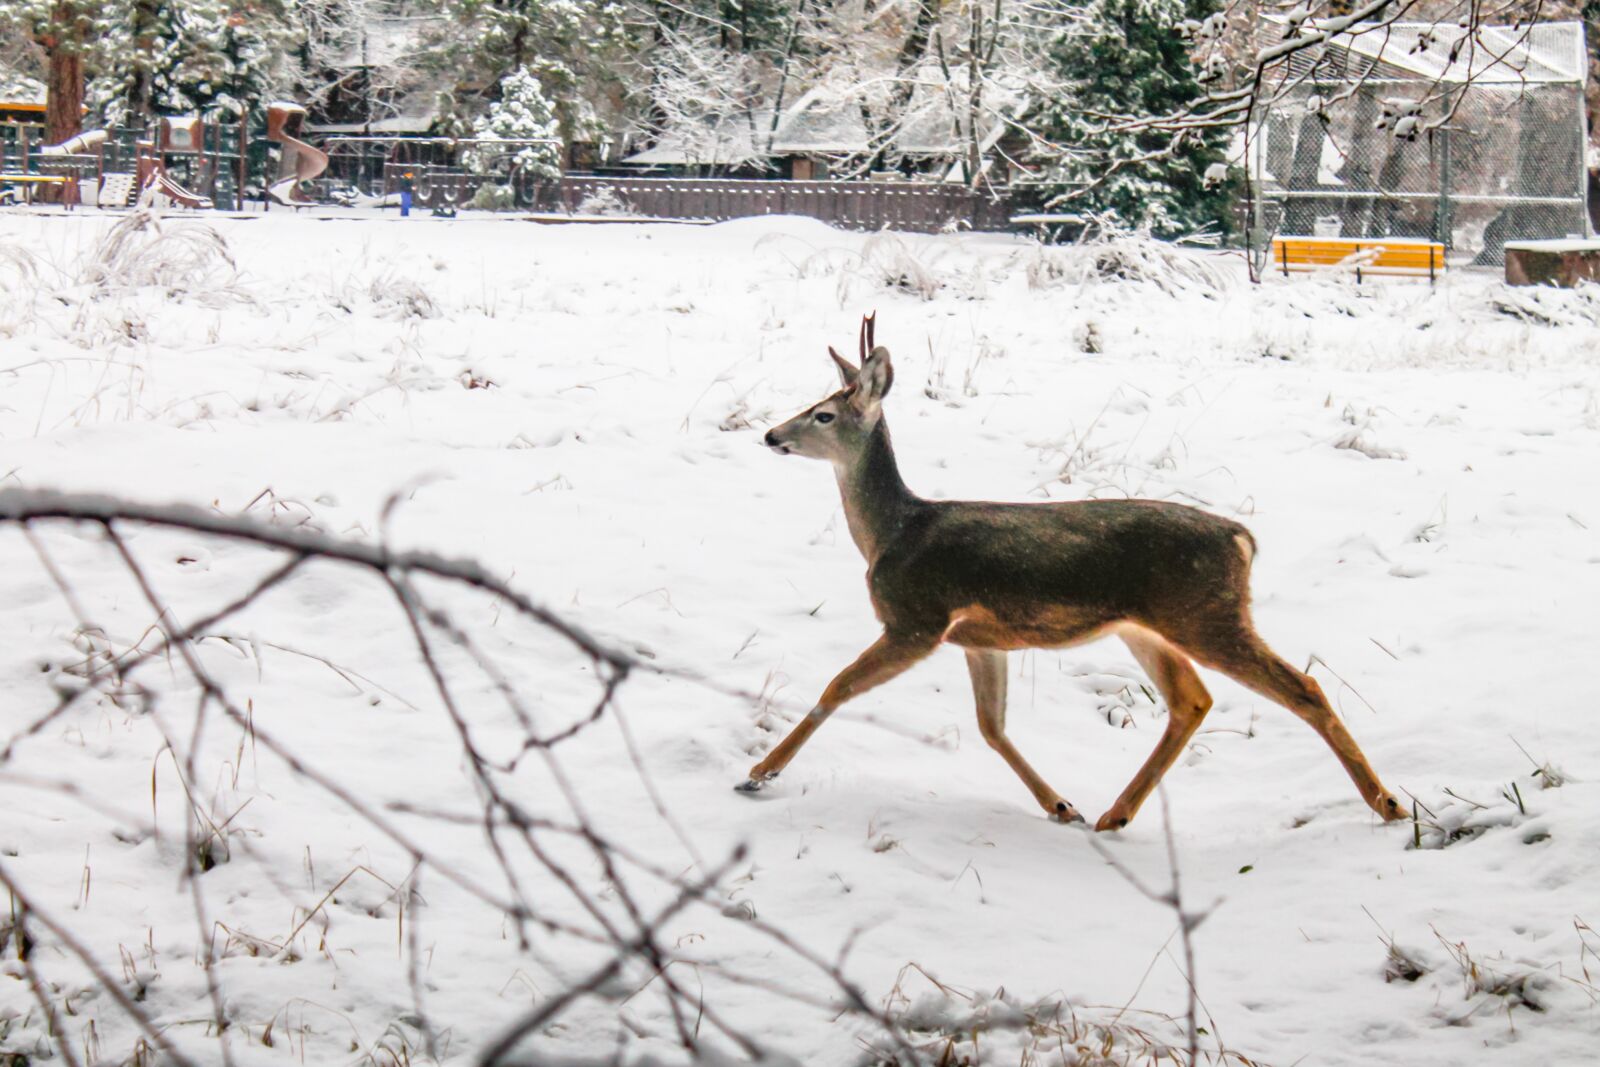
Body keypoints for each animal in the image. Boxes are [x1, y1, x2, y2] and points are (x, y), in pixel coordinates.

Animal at [737, 314, 1406, 832]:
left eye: (823, 414)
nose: (770, 435)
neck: (892, 533)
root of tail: (1243, 539)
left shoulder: (916, 619)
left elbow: (837, 688)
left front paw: (760, 772)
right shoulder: (978, 639)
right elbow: (992, 727)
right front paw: (1060, 805)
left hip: (1206, 612)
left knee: (1303, 687)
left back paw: (1390, 805)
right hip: (1149, 626)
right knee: (1192, 700)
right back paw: (1115, 814)